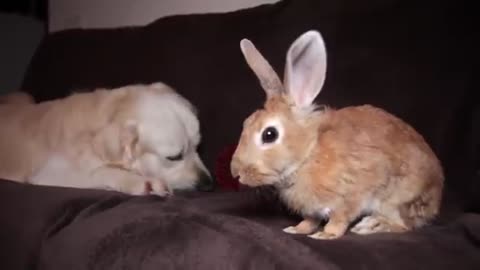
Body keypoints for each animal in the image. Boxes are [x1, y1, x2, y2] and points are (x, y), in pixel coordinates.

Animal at [0, 83, 214, 196]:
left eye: (197, 147)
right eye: (174, 157)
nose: (208, 184)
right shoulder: (48, 174)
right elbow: (98, 172)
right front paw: (141, 181)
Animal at [231, 30, 444, 239]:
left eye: (269, 134)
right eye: (246, 123)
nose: (235, 173)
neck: (308, 155)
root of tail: (436, 199)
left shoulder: (350, 196)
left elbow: (339, 219)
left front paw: (325, 235)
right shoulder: (312, 209)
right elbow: (310, 220)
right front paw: (297, 229)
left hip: (396, 200)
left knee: (403, 225)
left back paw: (370, 225)